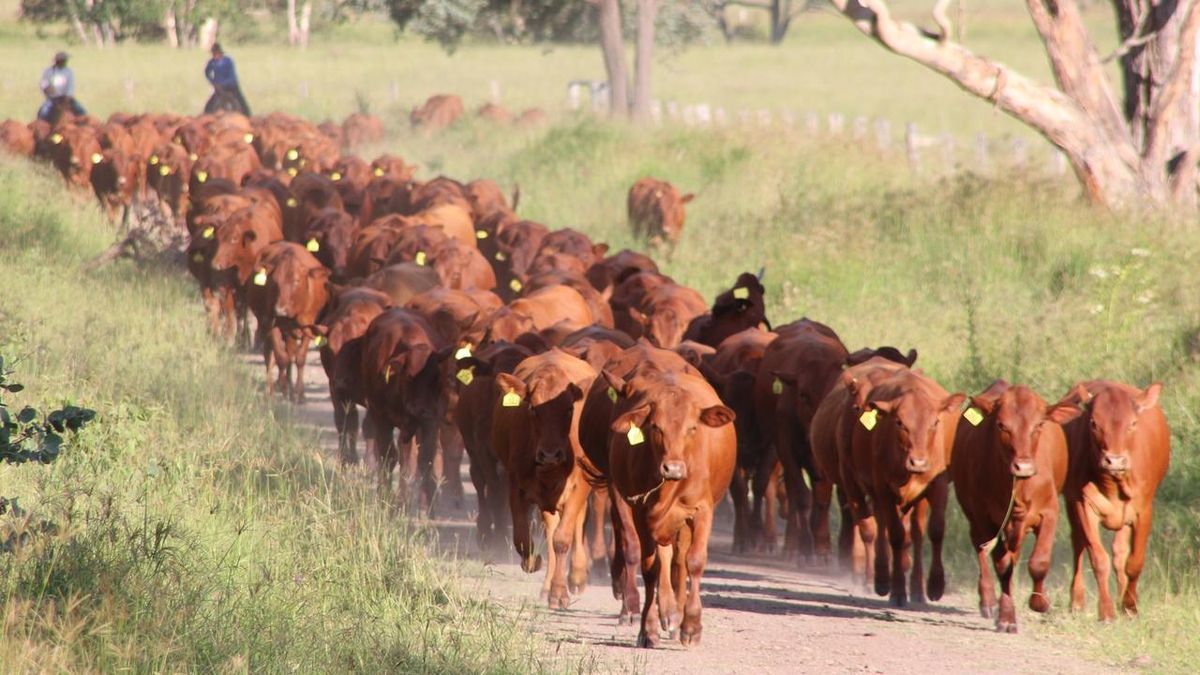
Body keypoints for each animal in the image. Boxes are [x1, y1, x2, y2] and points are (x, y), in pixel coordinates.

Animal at [950, 380, 1070, 633]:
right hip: (974, 517)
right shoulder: (985, 518)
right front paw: (1006, 616)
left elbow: (1039, 562)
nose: (1023, 467)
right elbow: (1002, 566)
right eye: (1001, 425)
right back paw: (987, 600)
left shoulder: (1050, 512)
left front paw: (1039, 602)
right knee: (982, 550)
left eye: (1039, 425)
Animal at [1054, 380, 1170, 622]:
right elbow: (1098, 559)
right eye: (1093, 423)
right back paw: (1077, 601)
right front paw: (1106, 611)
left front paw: (1129, 605)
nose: (1114, 460)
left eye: (1133, 423)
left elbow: (1133, 562)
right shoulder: (1083, 505)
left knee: (1119, 553)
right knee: (1079, 545)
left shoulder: (1143, 510)